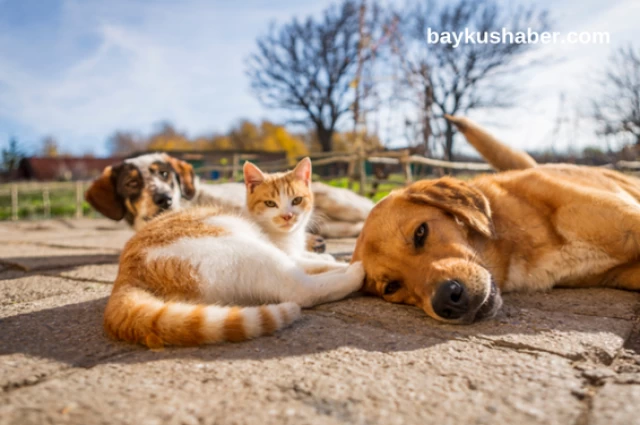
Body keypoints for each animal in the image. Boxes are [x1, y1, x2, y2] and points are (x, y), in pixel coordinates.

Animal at [106, 157, 364, 346]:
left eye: (297, 200)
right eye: (271, 203)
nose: (288, 216)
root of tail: (125, 275)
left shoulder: (295, 253)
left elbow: (317, 259)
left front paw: (329, 257)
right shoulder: (286, 254)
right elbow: (314, 264)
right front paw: (342, 263)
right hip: (249, 250)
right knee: (300, 290)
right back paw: (355, 273)